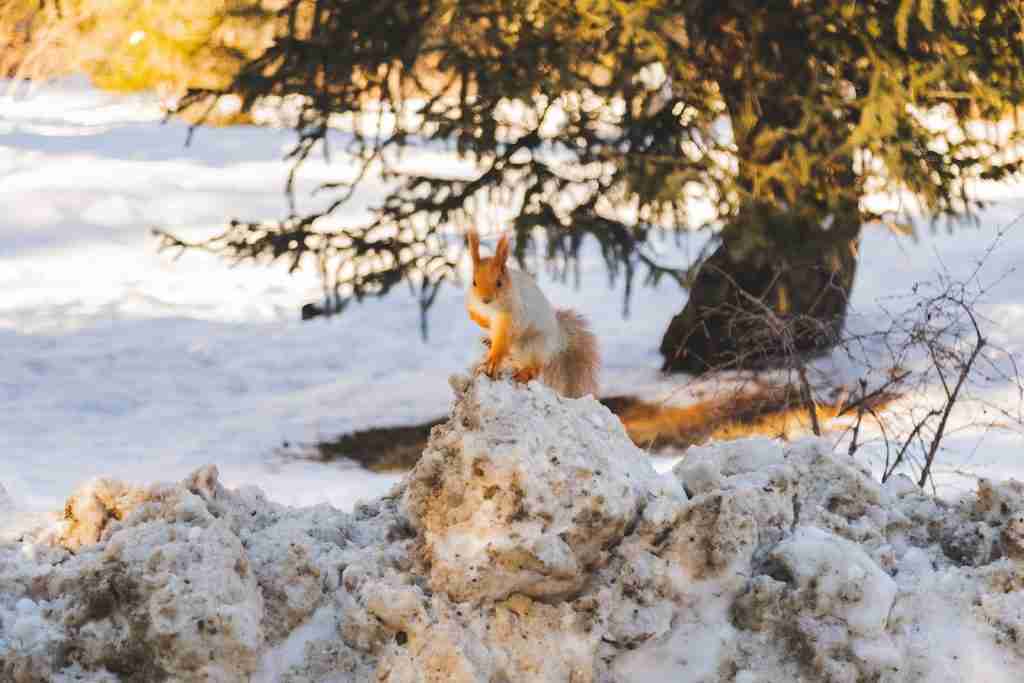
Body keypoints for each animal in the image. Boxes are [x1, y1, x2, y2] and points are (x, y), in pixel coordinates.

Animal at [466, 231, 598, 401]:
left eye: (499, 283)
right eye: (473, 282)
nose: (485, 300)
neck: (491, 309)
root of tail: (557, 340)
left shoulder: (513, 314)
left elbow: (503, 338)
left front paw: (493, 360)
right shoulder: (473, 305)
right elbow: (474, 316)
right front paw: (485, 324)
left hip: (532, 346)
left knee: (535, 368)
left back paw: (524, 374)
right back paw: (489, 342)